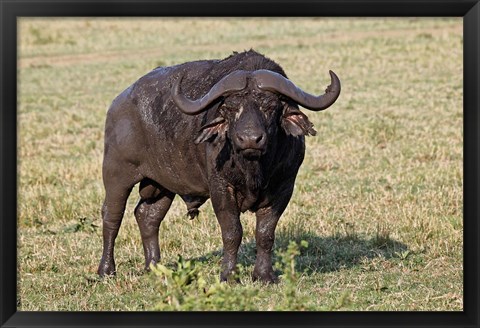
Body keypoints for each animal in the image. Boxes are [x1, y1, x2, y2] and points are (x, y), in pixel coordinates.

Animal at [97, 50, 340, 284]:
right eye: (230, 108)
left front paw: (264, 276)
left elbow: (265, 233)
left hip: (161, 185)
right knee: (112, 216)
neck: (253, 168)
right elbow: (232, 233)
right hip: (116, 175)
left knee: (148, 216)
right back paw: (106, 270)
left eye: (270, 106)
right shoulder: (221, 188)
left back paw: (155, 268)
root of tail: (118, 104)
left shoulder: (284, 187)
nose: (250, 139)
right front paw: (229, 276)